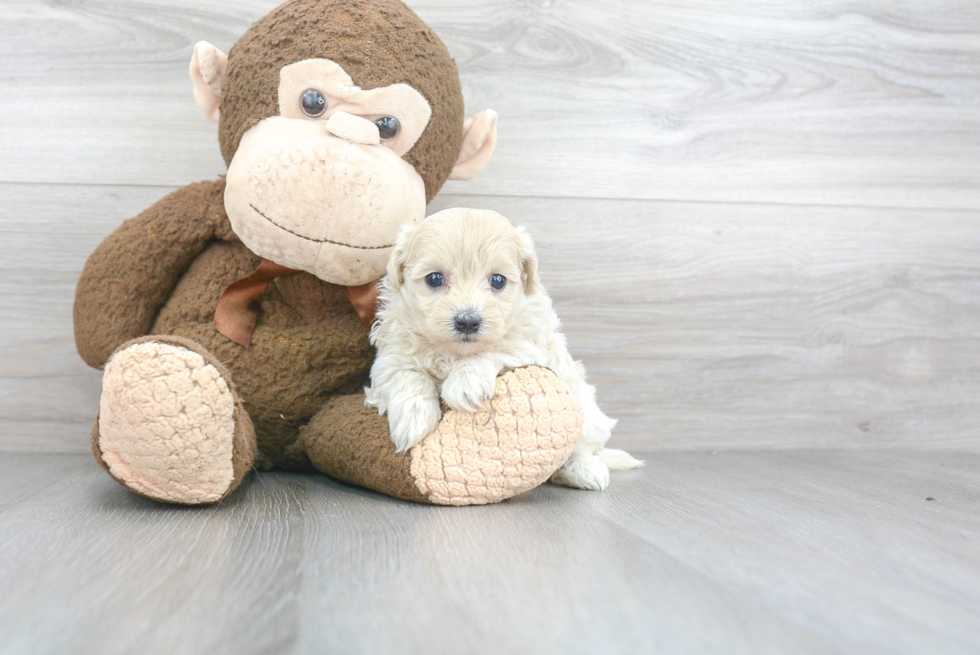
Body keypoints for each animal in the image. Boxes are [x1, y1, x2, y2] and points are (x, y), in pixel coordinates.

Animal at [364, 208, 640, 490]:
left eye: (498, 281)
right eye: (435, 278)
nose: (468, 321)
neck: (453, 353)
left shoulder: (529, 344)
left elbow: (495, 347)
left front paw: (465, 382)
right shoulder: (389, 359)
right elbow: (407, 374)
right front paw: (413, 418)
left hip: (587, 414)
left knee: (579, 448)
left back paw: (584, 469)